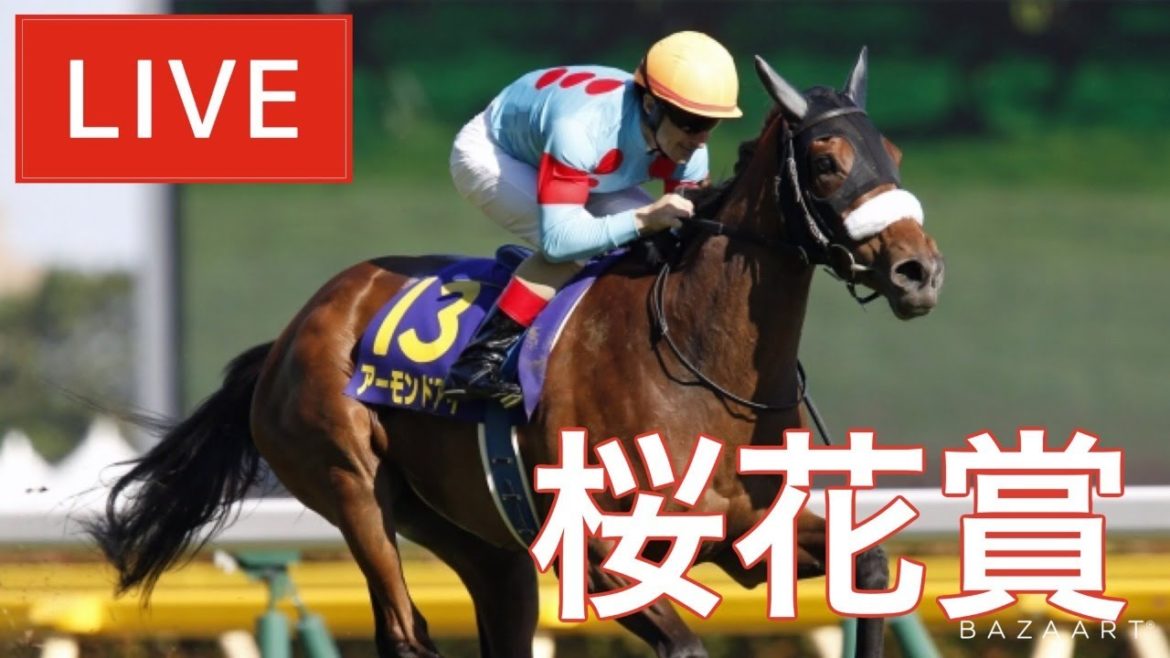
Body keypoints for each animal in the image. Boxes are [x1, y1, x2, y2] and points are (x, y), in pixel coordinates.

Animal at [88, 50, 943, 658]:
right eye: (827, 161)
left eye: (897, 155)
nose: (919, 271)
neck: (705, 371)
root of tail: (293, 332)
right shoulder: (597, 553)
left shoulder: (747, 535)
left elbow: (870, 570)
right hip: (349, 484)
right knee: (404, 631)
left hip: (478, 542)